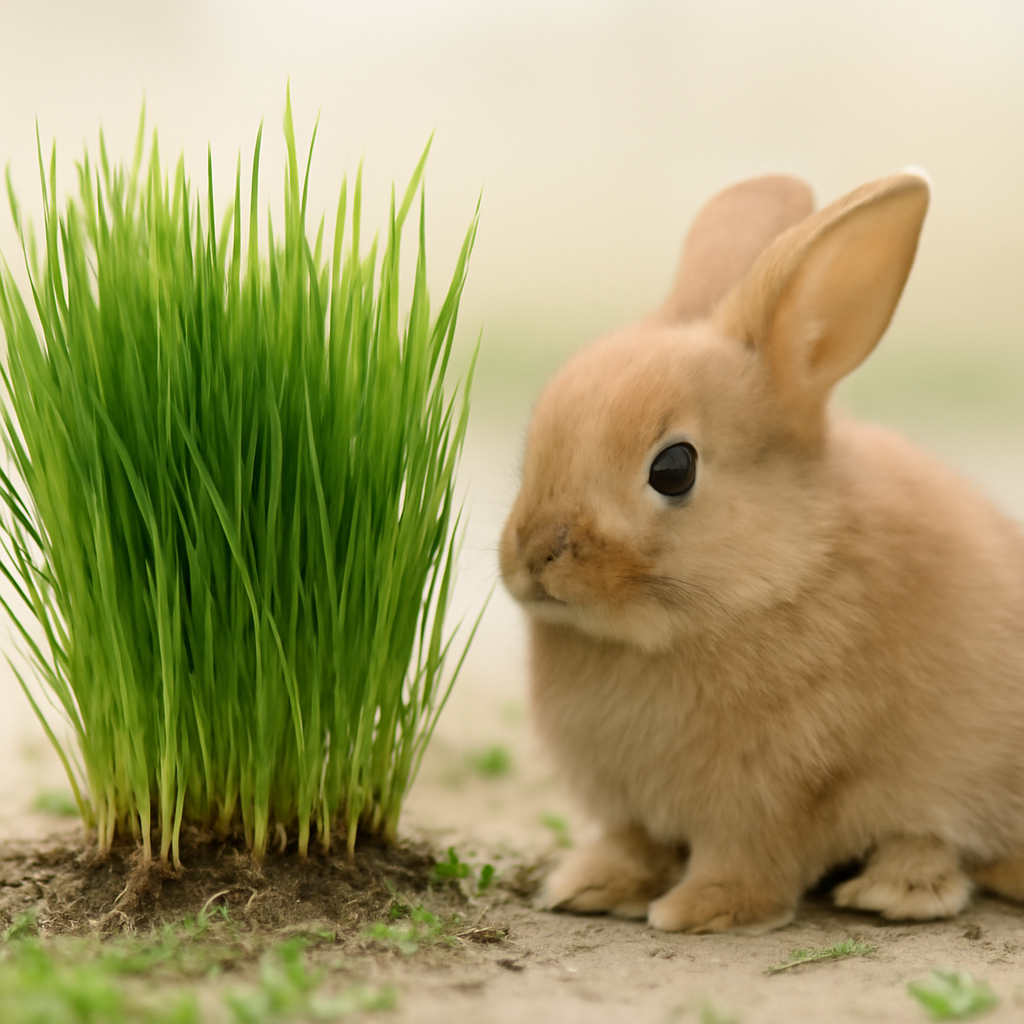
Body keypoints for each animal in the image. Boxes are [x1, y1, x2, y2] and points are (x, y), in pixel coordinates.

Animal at [499, 171, 1024, 934]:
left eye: (674, 470)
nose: (535, 556)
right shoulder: (629, 804)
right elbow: (631, 842)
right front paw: (585, 886)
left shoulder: (776, 792)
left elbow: (750, 858)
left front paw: (699, 910)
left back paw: (894, 889)